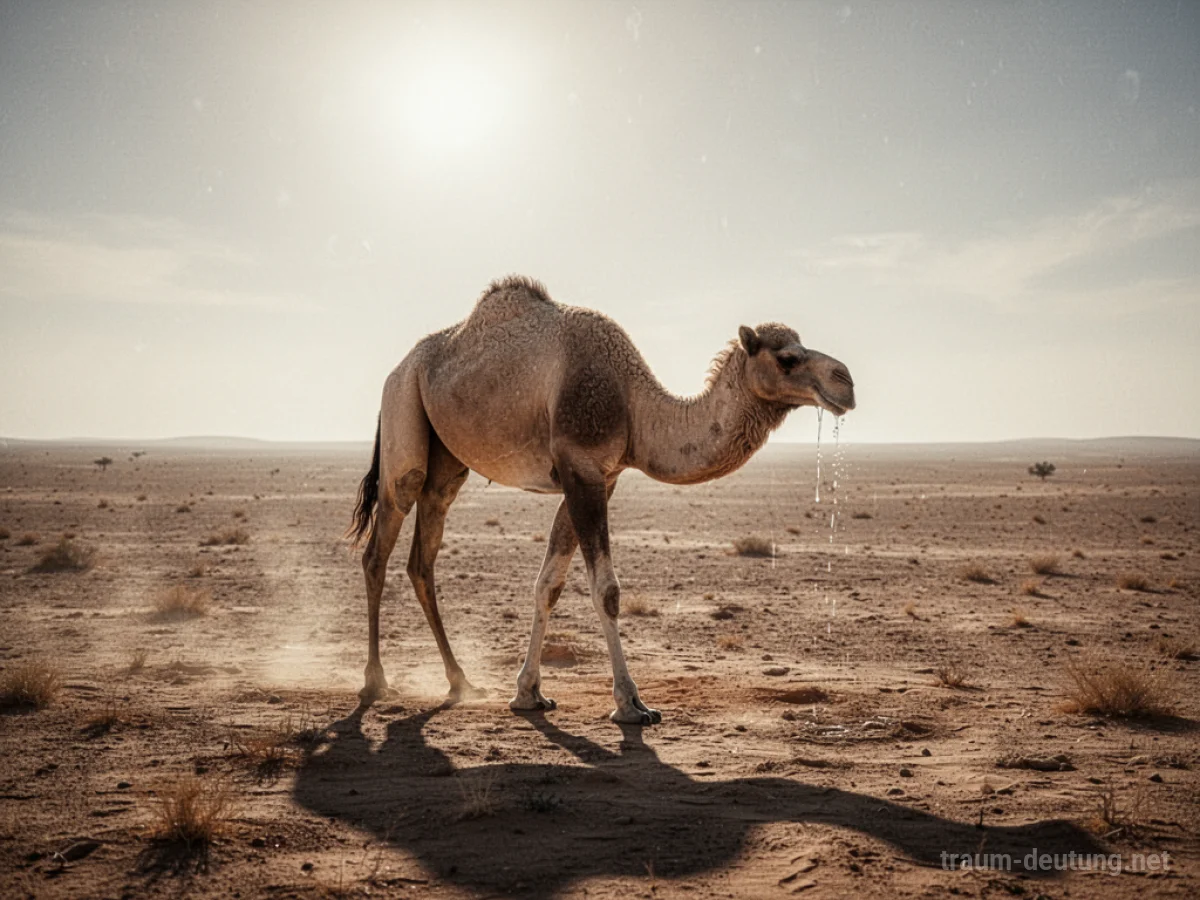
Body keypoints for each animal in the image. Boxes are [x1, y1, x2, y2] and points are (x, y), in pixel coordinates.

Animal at [348, 276, 855, 724]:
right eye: (788, 358)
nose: (846, 382)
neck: (635, 407)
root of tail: (397, 370)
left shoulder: (601, 477)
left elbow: (548, 584)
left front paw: (528, 693)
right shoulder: (581, 469)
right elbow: (607, 590)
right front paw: (632, 704)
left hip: (447, 461)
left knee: (422, 557)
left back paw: (460, 682)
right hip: (403, 413)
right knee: (380, 545)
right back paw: (375, 682)